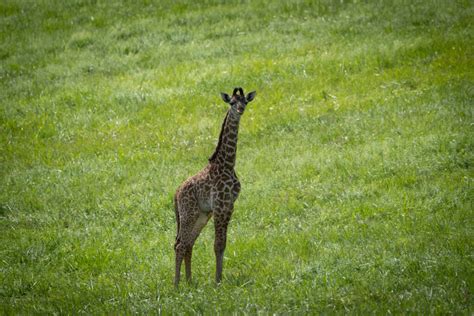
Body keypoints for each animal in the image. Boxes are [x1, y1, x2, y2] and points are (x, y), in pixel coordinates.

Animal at [173, 86, 256, 286]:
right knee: (180, 244)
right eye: (232, 102)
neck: (227, 163)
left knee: (188, 243)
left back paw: (189, 281)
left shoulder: (229, 206)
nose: (240, 110)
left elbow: (223, 243)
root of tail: (176, 194)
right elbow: (217, 244)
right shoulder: (220, 205)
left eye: (245, 101)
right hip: (189, 213)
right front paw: (217, 281)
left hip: (202, 215)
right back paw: (176, 285)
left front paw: (219, 278)